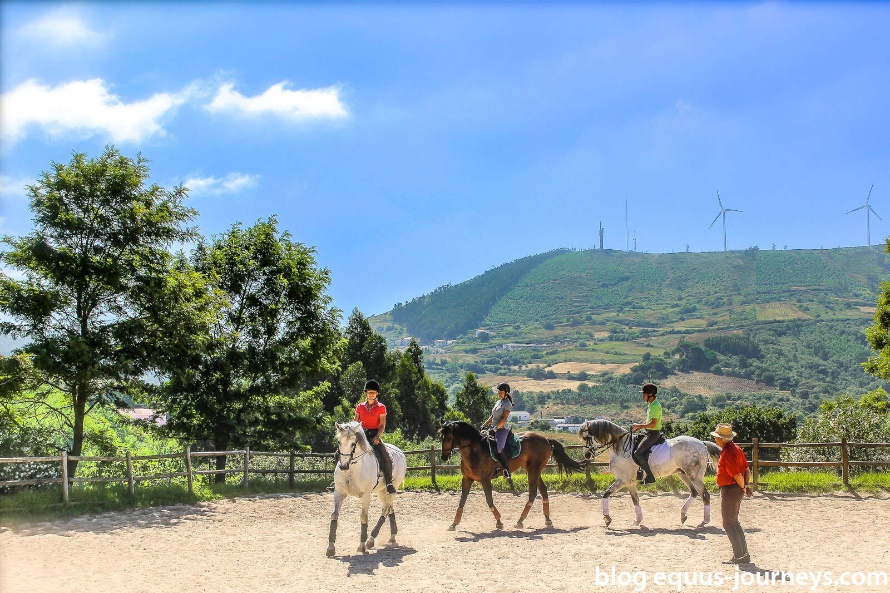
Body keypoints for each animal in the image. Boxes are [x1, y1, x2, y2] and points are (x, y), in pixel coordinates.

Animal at [326, 420, 406, 556]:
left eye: (353, 443)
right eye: (339, 442)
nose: (343, 466)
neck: (352, 469)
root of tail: (400, 452)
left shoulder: (366, 496)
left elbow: (363, 517)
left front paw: (362, 546)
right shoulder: (339, 493)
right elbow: (334, 515)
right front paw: (331, 547)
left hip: (392, 488)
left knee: (385, 509)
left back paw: (371, 540)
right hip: (382, 491)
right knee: (389, 507)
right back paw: (392, 537)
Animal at [438, 418, 584, 528]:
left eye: (449, 437)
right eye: (441, 437)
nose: (444, 457)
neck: (474, 450)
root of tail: (546, 440)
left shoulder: (485, 479)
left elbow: (489, 500)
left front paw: (499, 521)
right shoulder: (467, 479)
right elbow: (462, 501)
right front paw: (454, 524)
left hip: (534, 469)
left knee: (533, 493)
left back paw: (520, 521)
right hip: (532, 470)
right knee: (543, 490)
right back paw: (547, 519)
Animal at [580, 416, 720, 528]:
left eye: (586, 437)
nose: (587, 455)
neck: (620, 448)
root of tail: (701, 443)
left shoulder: (624, 480)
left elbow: (606, 494)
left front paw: (607, 518)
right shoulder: (630, 482)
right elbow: (635, 500)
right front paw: (637, 521)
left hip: (694, 475)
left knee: (705, 495)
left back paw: (703, 522)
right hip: (682, 474)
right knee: (694, 492)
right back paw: (683, 515)